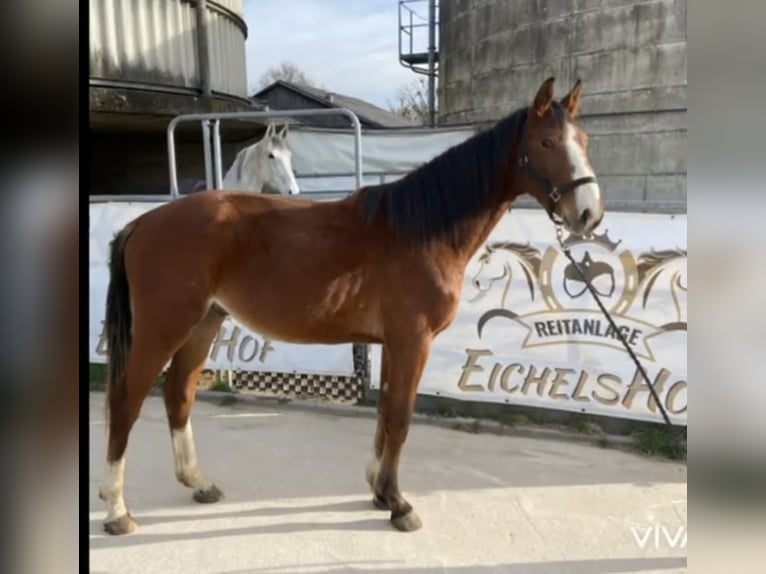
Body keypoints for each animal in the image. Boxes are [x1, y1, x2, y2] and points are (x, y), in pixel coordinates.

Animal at [97, 77, 604, 535]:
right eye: (546, 142)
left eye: (583, 141)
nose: (588, 215)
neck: (421, 230)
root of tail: (144, 222)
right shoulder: (412, 339)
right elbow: (399, 418)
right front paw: (399, 504)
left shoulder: (394, 343)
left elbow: (385, 415)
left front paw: (379, 491)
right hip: (164, 328)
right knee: (125, 400)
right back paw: (118, 510)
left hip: (204, 323)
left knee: (178, 393)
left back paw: (199, 483)